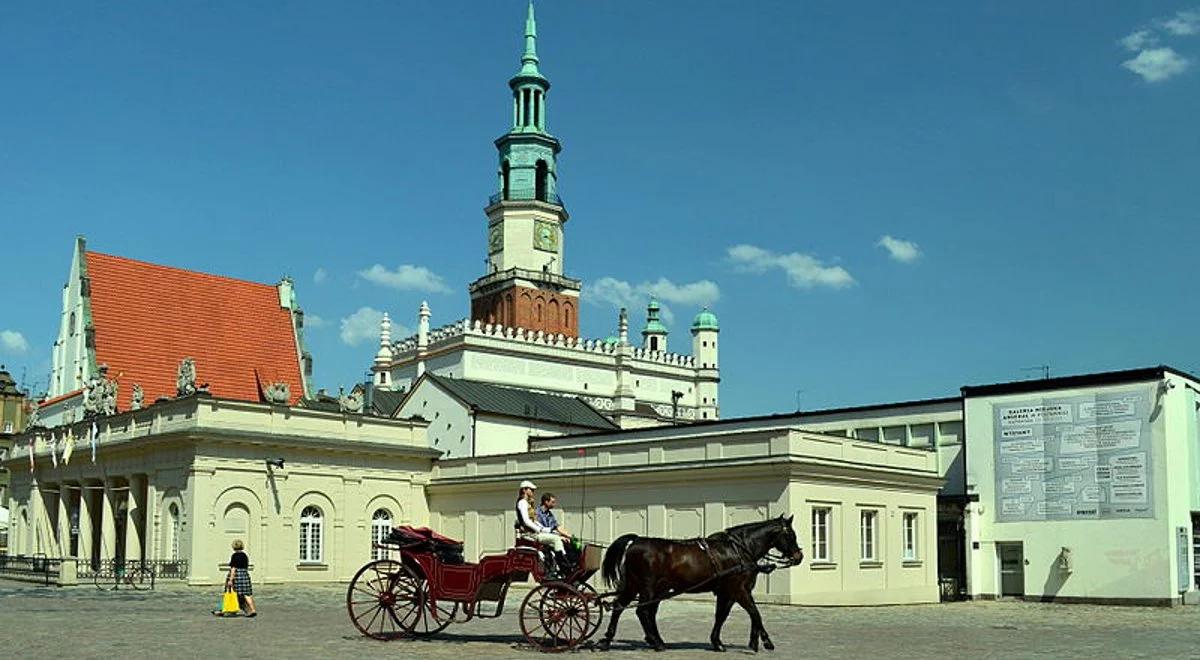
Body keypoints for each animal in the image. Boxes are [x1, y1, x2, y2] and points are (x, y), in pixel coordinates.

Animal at [595, 518, 801, 652]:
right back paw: (655, 642)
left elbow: (723, 616)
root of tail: (636, 540)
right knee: (642, 611)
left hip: (640, 587)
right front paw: (764, 642)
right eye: (791, 534)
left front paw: (719, 642)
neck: (738, 550)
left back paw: (612, 640)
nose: (799, 556)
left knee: (622, 607)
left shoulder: (728, 592)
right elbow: (754, 613)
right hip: (647, 588)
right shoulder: (738, 590)